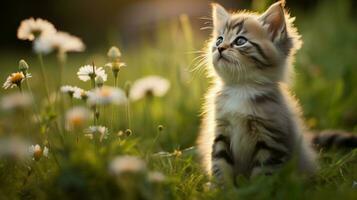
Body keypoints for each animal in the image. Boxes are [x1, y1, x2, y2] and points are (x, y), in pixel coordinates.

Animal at [196, 0, 316, 184]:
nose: (220, 48)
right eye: (219, 40)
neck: (241, 88)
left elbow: (263, 174)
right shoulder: (221, 132)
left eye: (240, 41)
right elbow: (220, 164)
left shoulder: (269, 139)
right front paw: (220, 188)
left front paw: (256, 189)